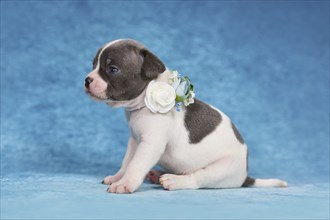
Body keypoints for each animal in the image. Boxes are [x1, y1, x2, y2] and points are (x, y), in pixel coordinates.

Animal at [84, 38, 286, 193]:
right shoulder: (135, 142)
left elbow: (135, 165)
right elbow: (127, 162)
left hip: (220, 170)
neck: (143, 103)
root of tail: (244, 175)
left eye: (112, 69)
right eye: (93, 65)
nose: (87, 80)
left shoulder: (149, 145)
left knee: (197, 179)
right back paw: (157, 175)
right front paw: (118, 177)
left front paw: (125, 184)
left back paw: (174, 180)